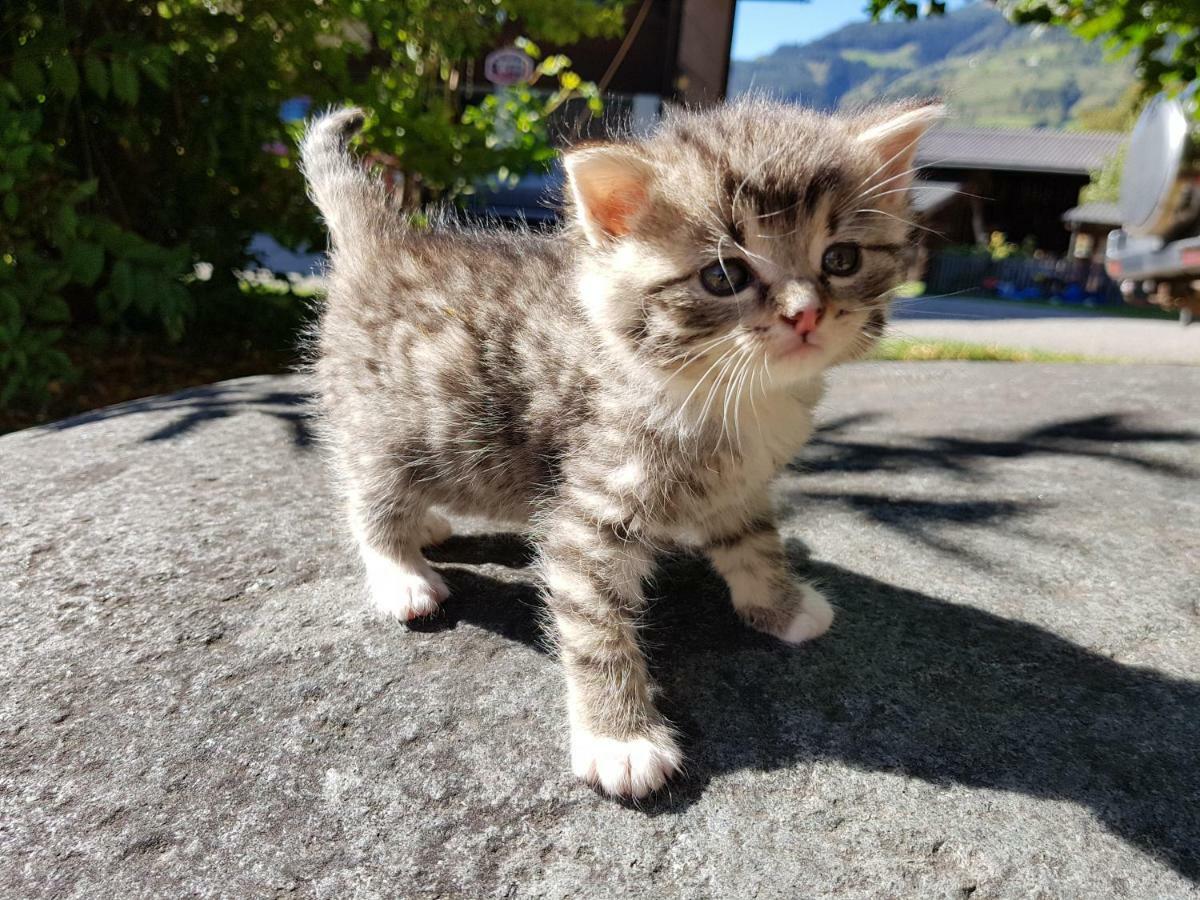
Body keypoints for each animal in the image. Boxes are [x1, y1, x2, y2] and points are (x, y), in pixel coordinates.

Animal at [297, 98, 936, 801]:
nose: (805, 314)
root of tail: (383, 243)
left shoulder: (738, 485)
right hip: (388, 428)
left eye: (841, 259)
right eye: (724, 275)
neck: (734, 399)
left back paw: (429, 526)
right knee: (368, 495)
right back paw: (400, 571)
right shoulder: (592, 509)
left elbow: (754, 542)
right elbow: (594, 625)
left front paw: (783, 604)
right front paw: (619, 738)